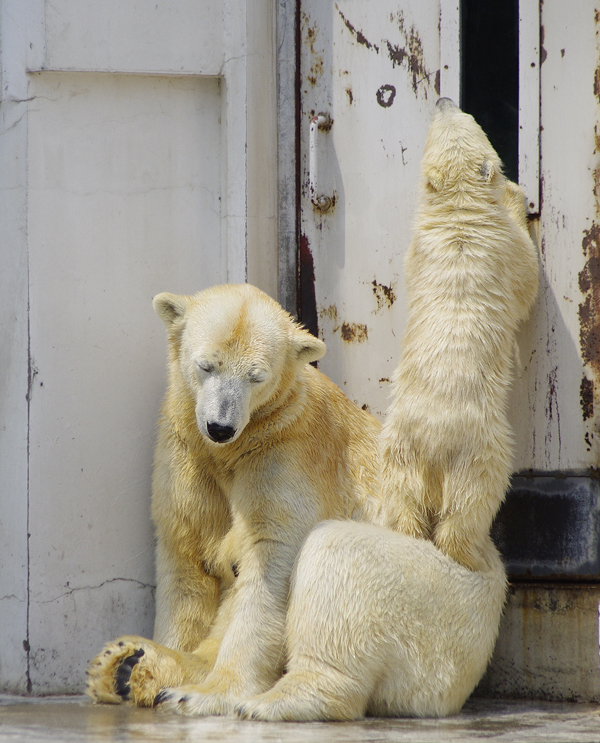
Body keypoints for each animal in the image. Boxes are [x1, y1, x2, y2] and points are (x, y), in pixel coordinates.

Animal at [86, 284, 382, 708]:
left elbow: (266, 563)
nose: (220, 427)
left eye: (256, 376)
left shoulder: (285, 457)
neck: (235, 449)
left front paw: (206, 694)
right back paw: (124, 665)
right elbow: (187, 562)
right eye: (206, 365)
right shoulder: (187, 456)